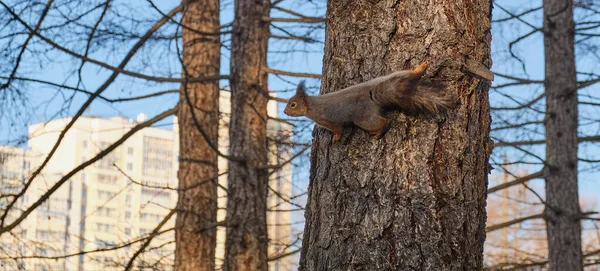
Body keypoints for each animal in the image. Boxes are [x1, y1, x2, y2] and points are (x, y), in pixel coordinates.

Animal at [284, 63, 452, 143]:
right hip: (389, 77)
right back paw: (419, 69)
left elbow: (337, 128)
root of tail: (371, 94)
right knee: (407, 74)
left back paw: (378, 132)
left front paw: (336, 138)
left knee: (382, 121)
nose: (285, 112)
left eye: (293, 104)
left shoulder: (326, 119)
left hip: (362, 118)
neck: (311, 105)